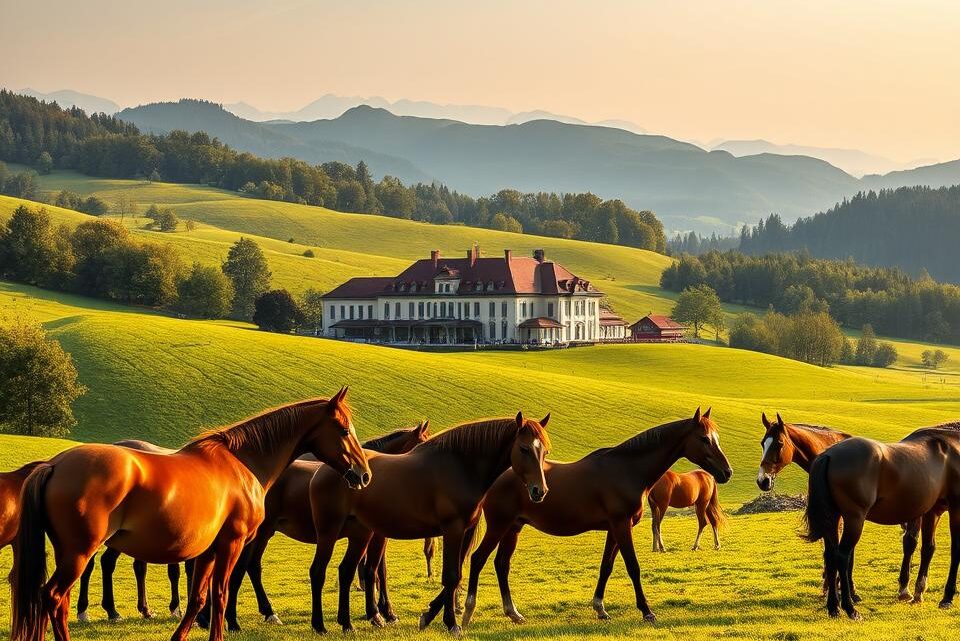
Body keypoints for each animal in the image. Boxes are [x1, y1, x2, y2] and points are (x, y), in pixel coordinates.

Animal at [209, 421, 431, 631]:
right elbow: (374, 571)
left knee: (253, 566)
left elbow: (378, 571)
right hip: (260, 533)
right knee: (243, 568)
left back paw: (267, 612)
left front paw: (382, 612)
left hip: (265, 533)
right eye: (422, 444)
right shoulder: (375, 536)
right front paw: (378, 613)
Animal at [309, 411, 551, 636]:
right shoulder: (452, 529)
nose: (539, 491)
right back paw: (320, 625)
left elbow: (456, 574)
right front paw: (451, 623)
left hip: (361, 534)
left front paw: (431, 615)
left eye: (545, 451)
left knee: (346, 571)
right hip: (329, 532)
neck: (460, 466)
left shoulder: (461, 532)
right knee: (318, 571)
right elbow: (451, 576)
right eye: (524, 449)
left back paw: (347, 624)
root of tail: (327, 469)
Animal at [461, 407, 732, 628]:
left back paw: (513, 613)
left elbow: (606, 567)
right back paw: (466, 614)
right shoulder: (622, 526)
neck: (627, 469)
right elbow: (633, 567)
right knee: (478, 559)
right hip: (499, 525)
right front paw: (646, 611)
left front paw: (600, 608)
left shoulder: (614, 529)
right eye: (704, 438)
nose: (727, 472)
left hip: (513, 528)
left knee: (501, 564)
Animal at [802, 423, 960, 619]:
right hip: (854, 519)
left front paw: (918, 592)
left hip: (833, 518)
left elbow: (928, 549)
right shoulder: (955, 508)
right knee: (842, 557)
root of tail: (828, 455)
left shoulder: (933, 511)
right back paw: (850, 608)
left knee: (830, 556)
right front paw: (947, 597)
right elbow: (955, 550)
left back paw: (833, 607)